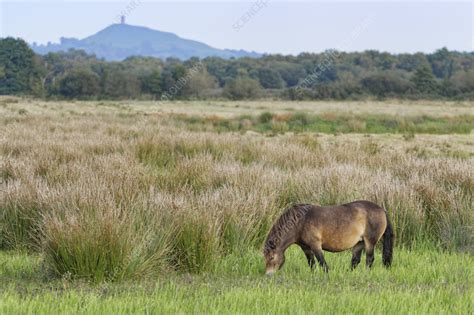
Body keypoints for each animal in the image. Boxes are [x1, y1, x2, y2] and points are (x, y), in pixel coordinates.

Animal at [264, 201, 394, 276]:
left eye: (272, 257)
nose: (268, 275)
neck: (301, 221)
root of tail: (382, 209)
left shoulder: (315, 245)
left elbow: (322, 263)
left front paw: (326, 276)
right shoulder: (306, 247)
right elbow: (311, 263)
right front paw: (313, 275)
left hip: (369, 242)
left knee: (369, 259)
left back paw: (365, 275)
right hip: (359, 243)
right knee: (355, 261)